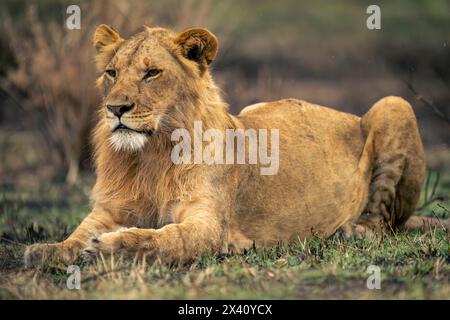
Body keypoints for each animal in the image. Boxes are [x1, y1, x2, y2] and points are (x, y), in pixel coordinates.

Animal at [25, 24, 450, 264]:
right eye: (112, 73)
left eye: (152, 73)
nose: (115, 108)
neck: (151, 155)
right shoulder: (111, 208)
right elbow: (78, 233)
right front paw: (47, 249)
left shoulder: (208, 225)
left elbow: (161, 239)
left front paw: (107, 248)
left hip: (394, 104)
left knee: (384, 221)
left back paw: (353, 231)